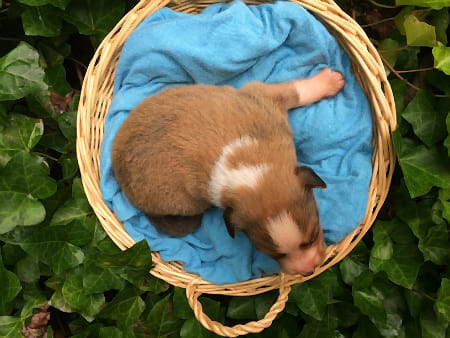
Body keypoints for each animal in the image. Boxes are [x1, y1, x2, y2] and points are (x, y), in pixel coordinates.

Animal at [111, 67, 344, 276]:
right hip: (187, 204)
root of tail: (118, 172)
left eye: (313, 236)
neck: (250, 172)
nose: (307, 271)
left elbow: (293, 91)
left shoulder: (262, 98)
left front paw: (329, 81)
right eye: (274, 255)